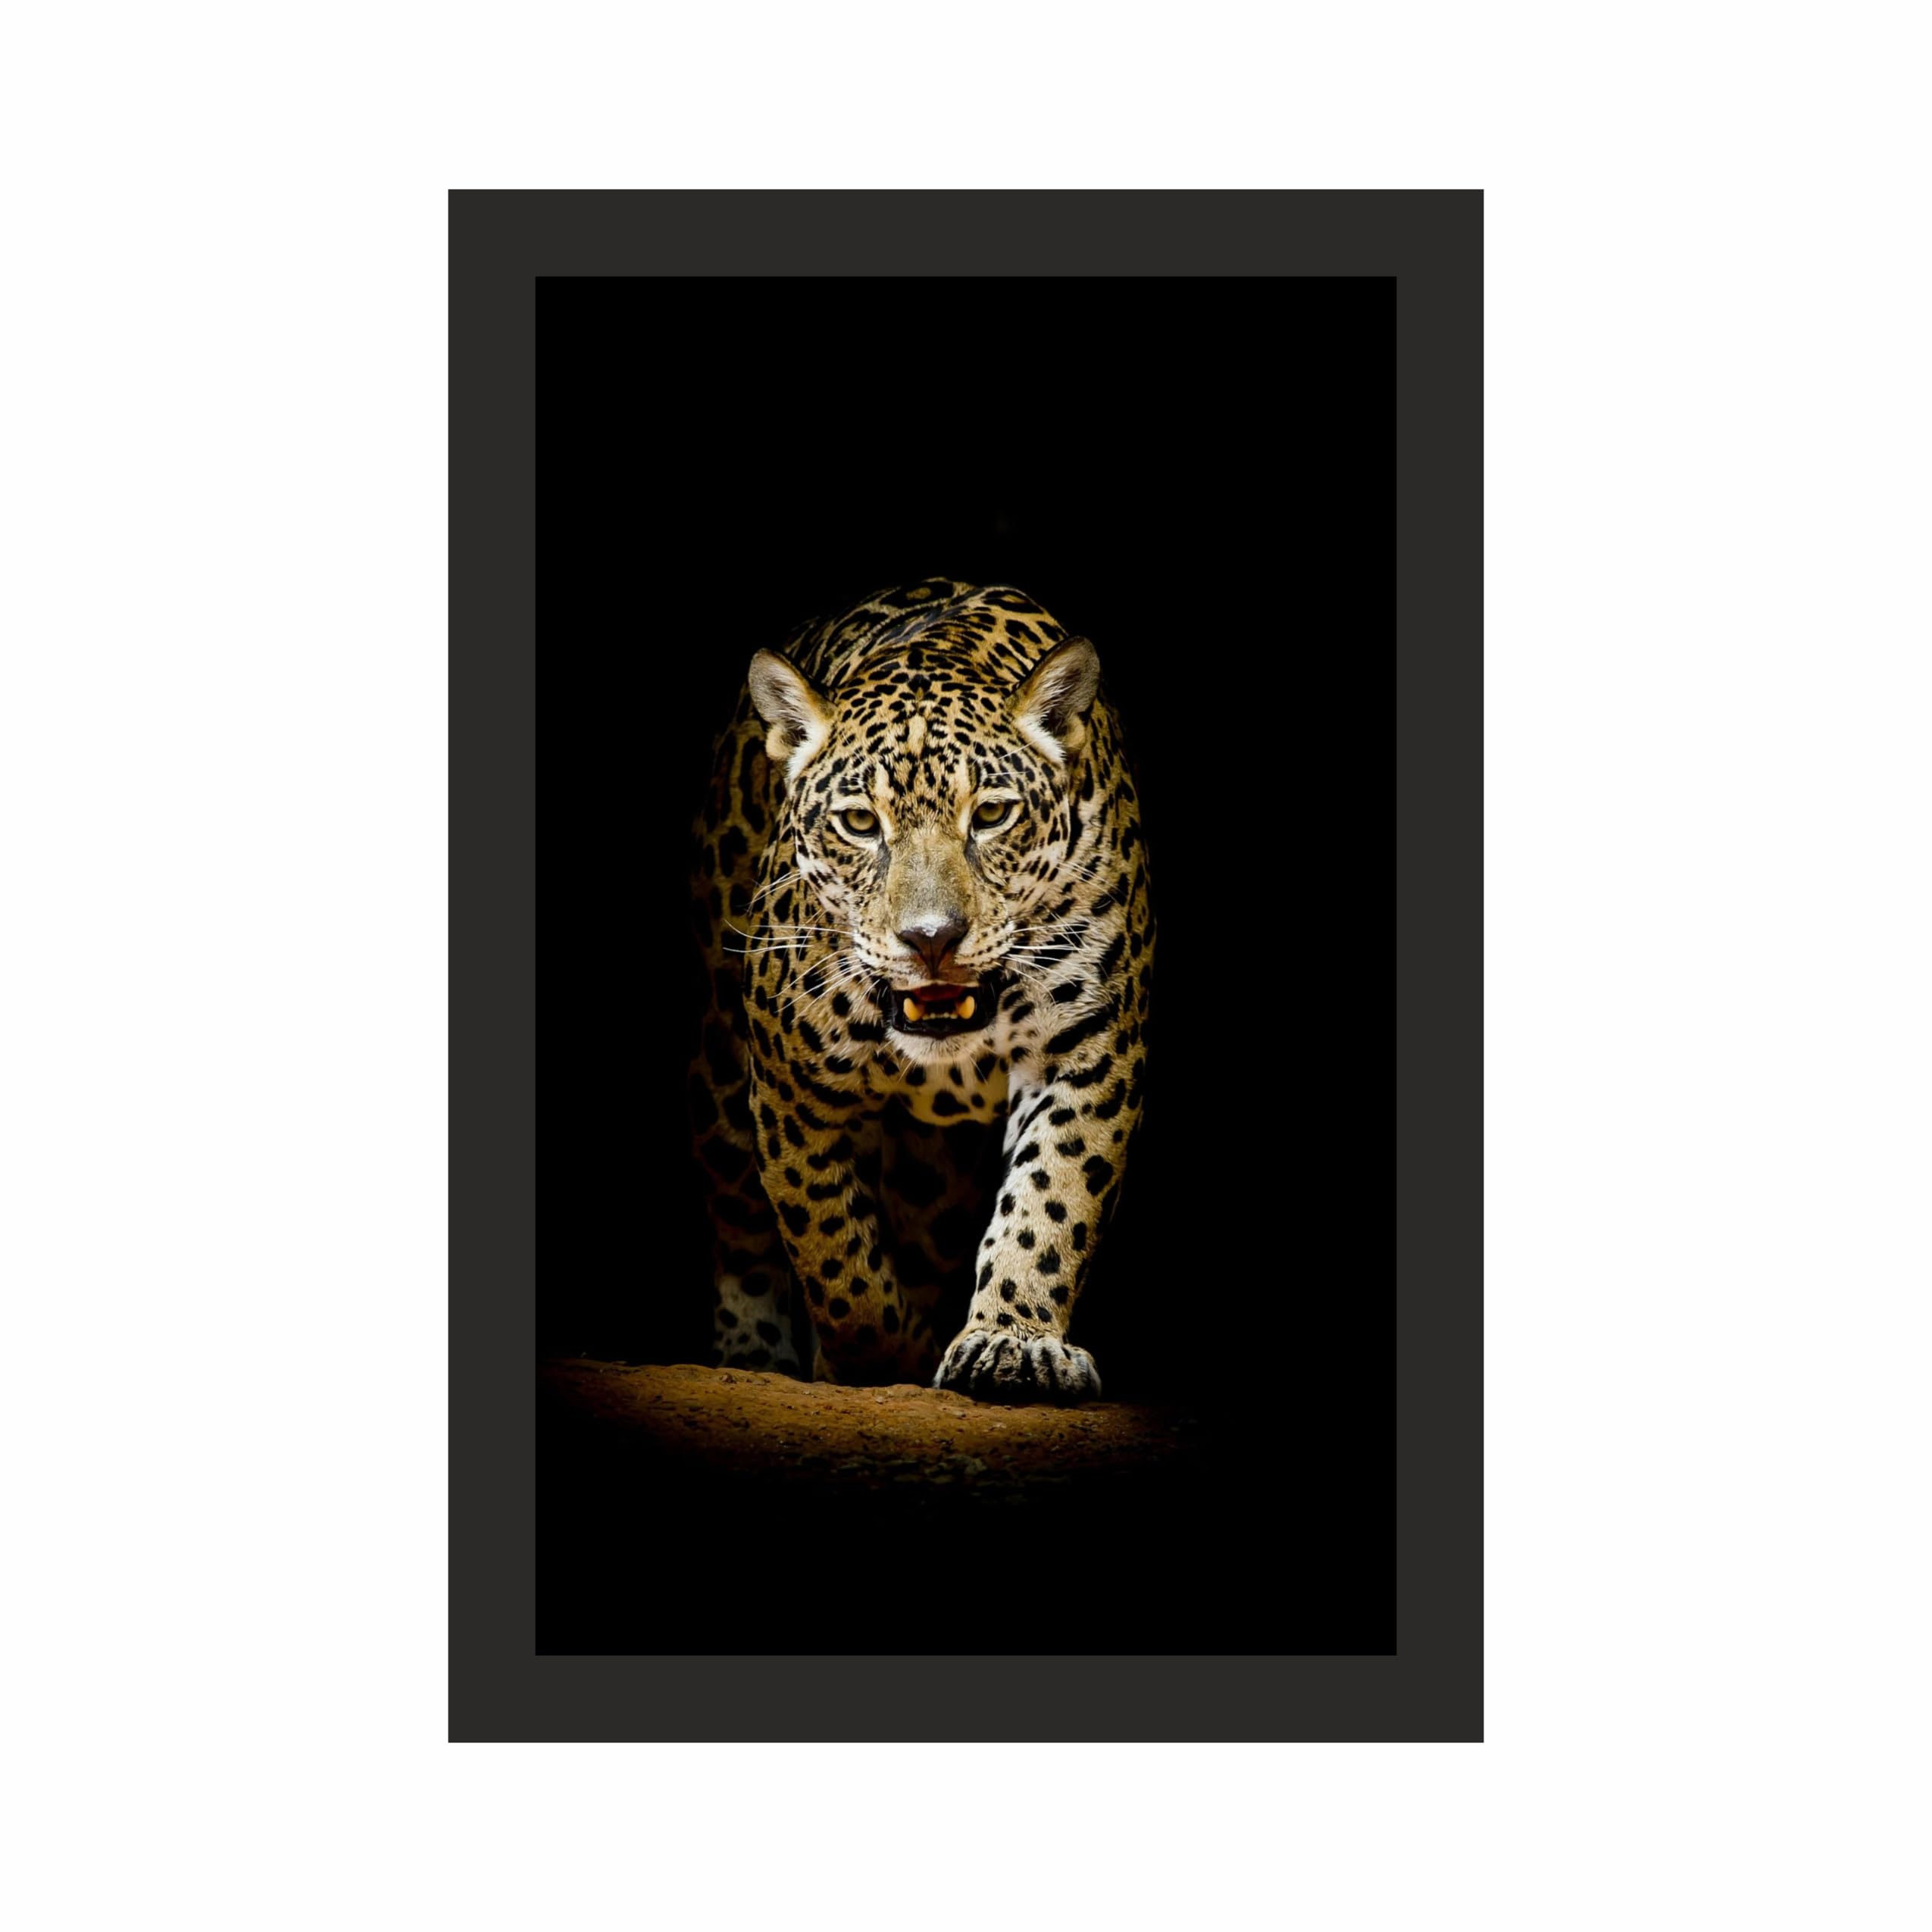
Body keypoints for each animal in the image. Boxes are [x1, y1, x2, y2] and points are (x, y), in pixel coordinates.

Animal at [686, 577, 1153, 1404]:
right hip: (718, 1075)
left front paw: (1011, 1343)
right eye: (859, 823)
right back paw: (751, 1352)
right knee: (740, 1221)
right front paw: (877, 1359)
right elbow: (832, 1250)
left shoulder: (1088, 1051)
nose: (932, 938)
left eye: (992, 815)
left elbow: (1052, 1199)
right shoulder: (789, 1084)